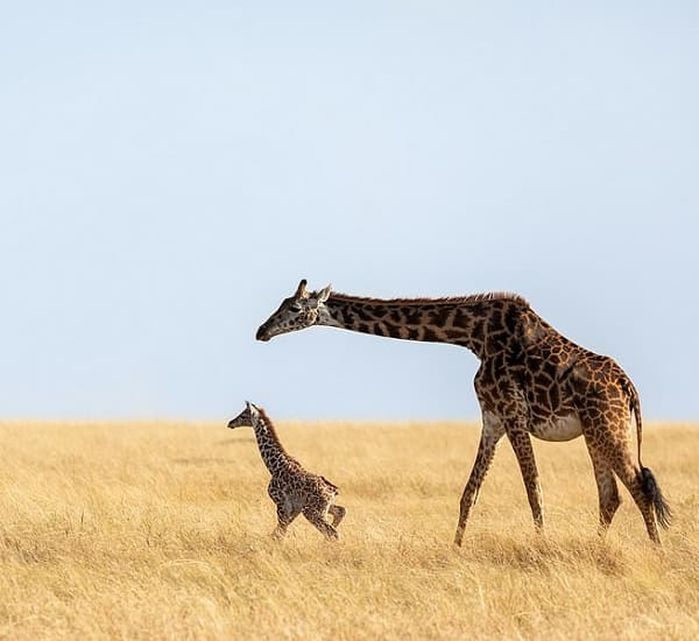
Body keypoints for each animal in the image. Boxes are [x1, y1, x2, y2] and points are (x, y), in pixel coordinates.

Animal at [228, 402, 346, 536]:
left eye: (243, 415)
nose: (230, 423)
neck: (274, 466)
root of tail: (333, 490)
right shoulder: (294, 507)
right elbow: (279, 531)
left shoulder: (281, 503)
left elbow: (280, 532)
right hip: (321, 507)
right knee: (341, 512)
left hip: (312, 511)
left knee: (333, 533)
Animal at [254, 278, 668, 544]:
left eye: (294, 307)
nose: (261, 331)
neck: (473, 335)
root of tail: (628, 387)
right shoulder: (492, 418)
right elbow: (469, 492)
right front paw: (456, 548)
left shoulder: (513, 415)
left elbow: (533, 489)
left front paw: (541, 547)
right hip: (594, 432)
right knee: (611, 496)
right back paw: (600, 548)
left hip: (607, 426)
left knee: (638, 485)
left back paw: (656, 549)